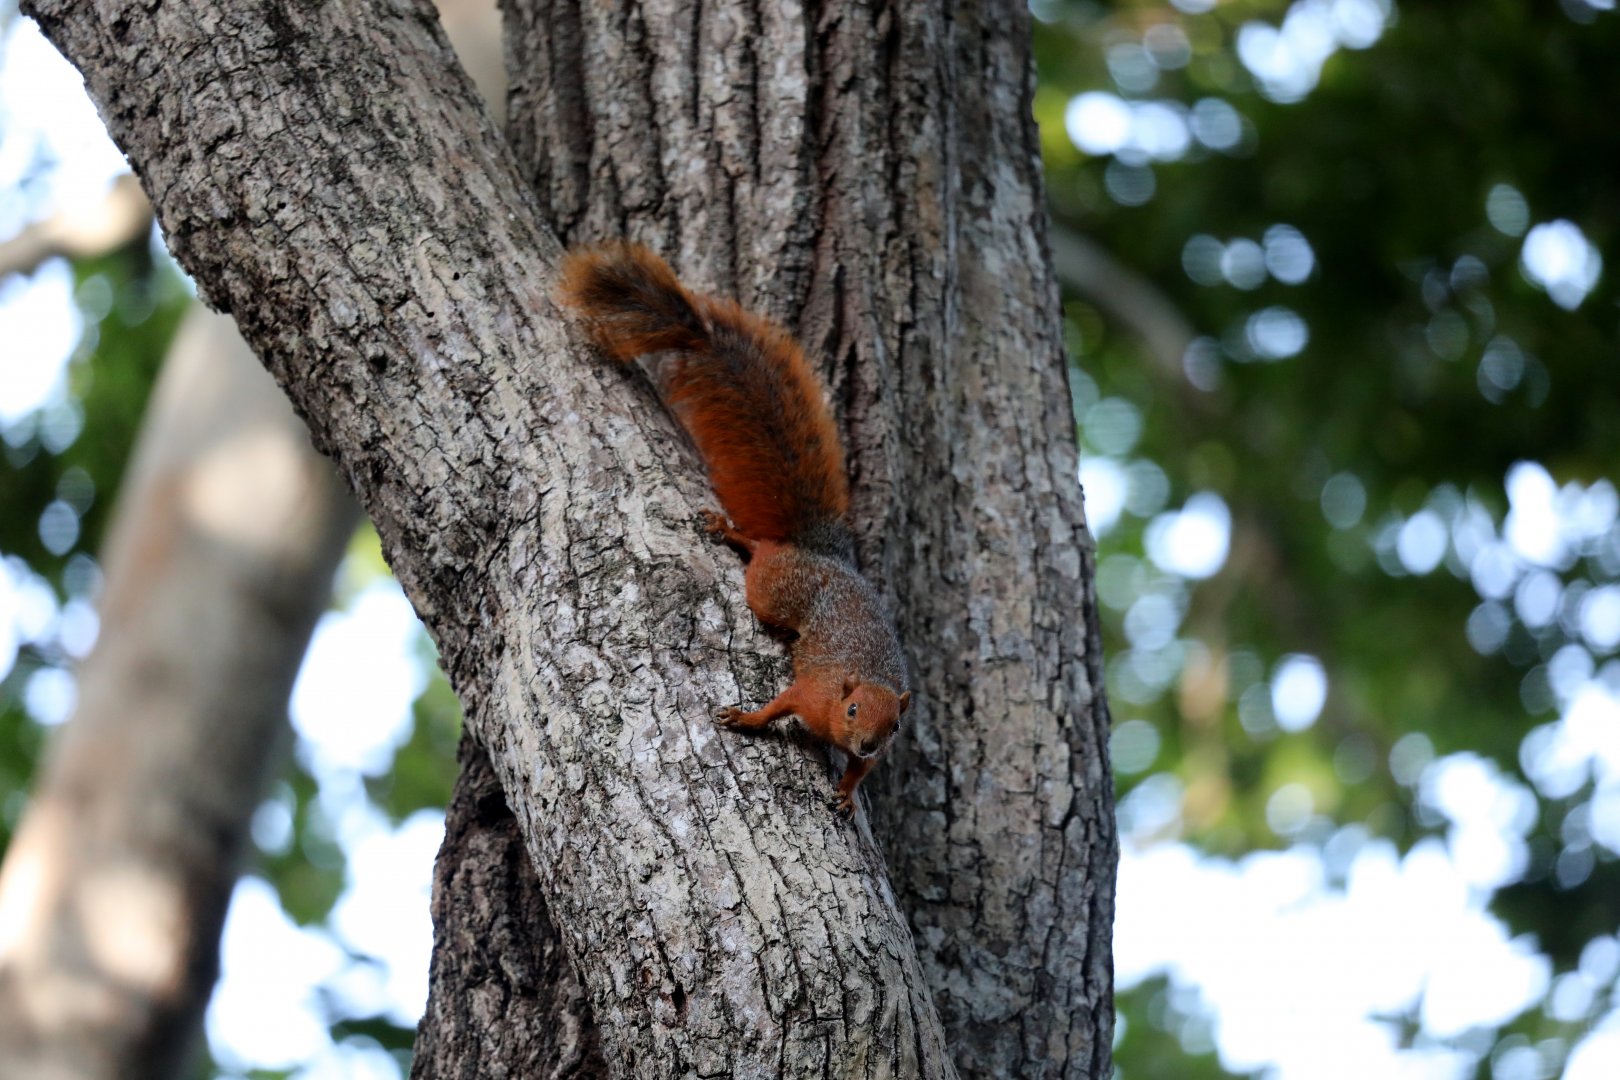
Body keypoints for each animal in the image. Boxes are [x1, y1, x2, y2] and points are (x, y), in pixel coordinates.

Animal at [557, 242, 911, 816]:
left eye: (896, 725)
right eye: (853, 709)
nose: (864, 742)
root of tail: (820, 552)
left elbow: (862, 774)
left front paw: (847, 793)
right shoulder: (809, 693)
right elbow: (778, 706)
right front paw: (744, 719)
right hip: (774, 589)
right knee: (762, 553)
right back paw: (732, 533)